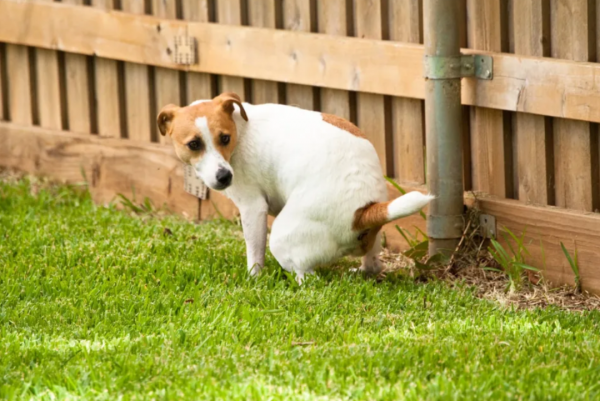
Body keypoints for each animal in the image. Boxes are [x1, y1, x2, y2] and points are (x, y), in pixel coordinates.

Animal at [157, 92, 434, 282]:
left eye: (224, 138)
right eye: (194, 144)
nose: (224, 177)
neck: (240, 129)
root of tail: (364, 210)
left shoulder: (252, 208)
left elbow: (254, 255)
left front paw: (253, 280)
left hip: (281, 241)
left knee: (308, 277)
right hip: (374, 239)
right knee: (373, 264)